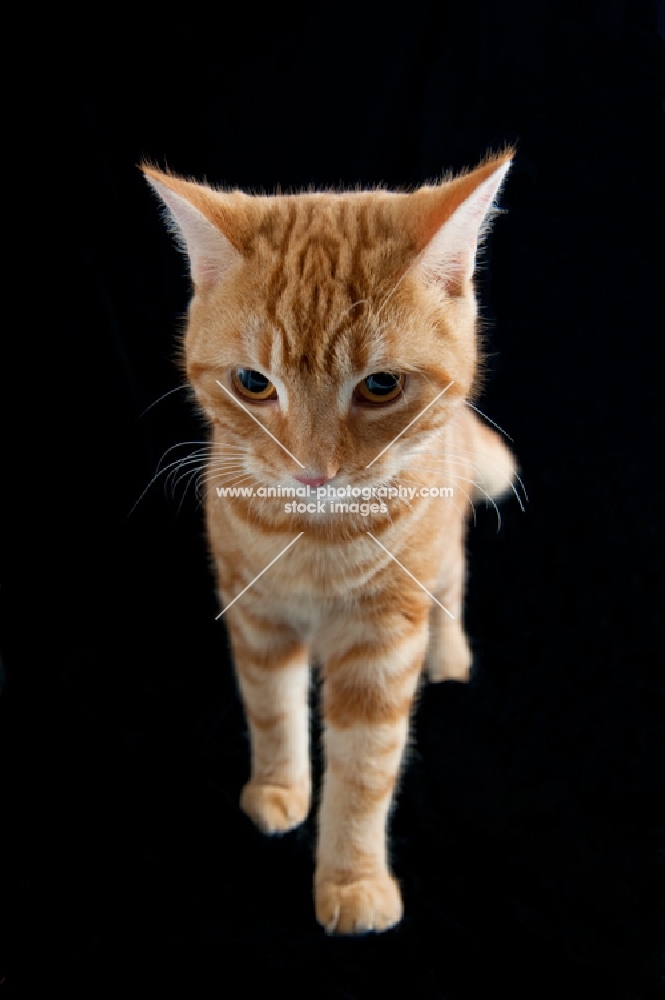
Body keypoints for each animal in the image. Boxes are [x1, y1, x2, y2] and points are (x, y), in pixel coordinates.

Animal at [143, 152, 516, 932]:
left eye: (381, 385)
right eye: (253, 383)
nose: (313, 470)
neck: (316, 536)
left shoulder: (383, 638)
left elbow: (365, 771)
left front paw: (352, 880)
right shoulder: (255, 615)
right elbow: (272, 709)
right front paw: (278, 788)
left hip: (442, 556)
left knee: (454, 585)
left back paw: (449, 654)